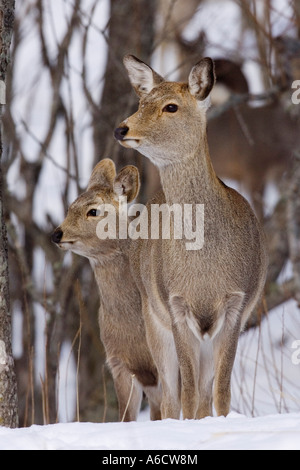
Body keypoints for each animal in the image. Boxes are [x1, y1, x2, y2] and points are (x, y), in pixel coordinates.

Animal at [114, 55, 268, 418]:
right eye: (141, 103)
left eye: (171, 106)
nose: (121, 128)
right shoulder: (175, 305)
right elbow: (186, 394)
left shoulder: (238, 303)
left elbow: (220, 392)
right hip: (152, 318)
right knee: (170, 397)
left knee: (202, 392)